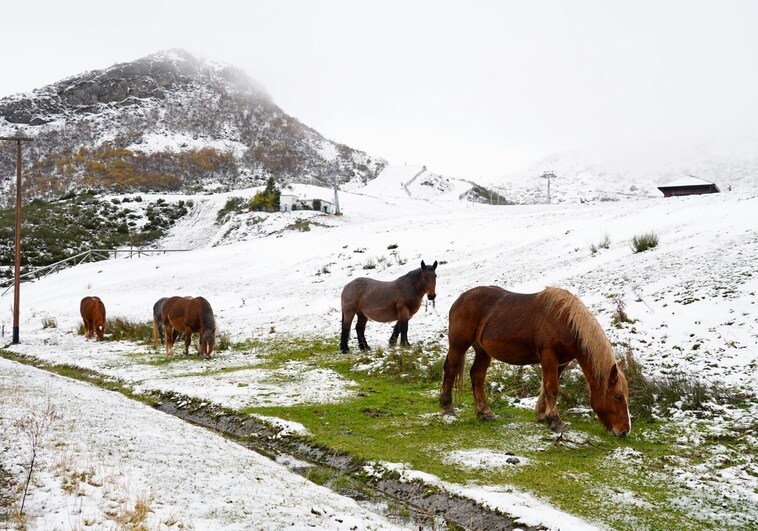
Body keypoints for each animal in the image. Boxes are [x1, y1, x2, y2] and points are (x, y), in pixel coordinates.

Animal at [442, 286, 632, 436]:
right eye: (617, 396)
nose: (624, 431)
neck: (565, 321)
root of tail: (460, 299)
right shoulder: (549, 355)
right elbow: (552, 388)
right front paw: (555, 421)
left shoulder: (561, 362)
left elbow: (546, 387)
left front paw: (542, 415)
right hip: (459, 344)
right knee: (450, 369)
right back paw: (447, 407)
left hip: (483, 350)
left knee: (477, 375)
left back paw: (485, 413)